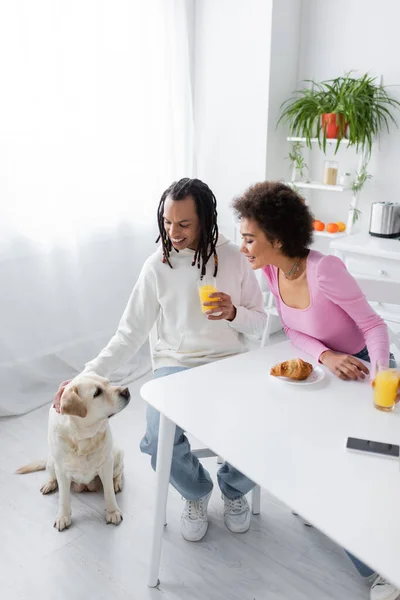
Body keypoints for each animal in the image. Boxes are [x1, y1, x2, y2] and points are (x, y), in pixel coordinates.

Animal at [16, 372, 130, 532]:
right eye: (97, 393)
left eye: (108, 383)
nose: (126, 391)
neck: (83, 439)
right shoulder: (62, 471)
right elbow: (63, 498)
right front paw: (63, 517)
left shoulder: (106, 465)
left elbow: (109, 493)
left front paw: (113, 512)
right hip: (51, 462)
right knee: (52, 476)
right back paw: (49, 484)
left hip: (117, 454)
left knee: (118, 473)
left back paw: (117, 483)